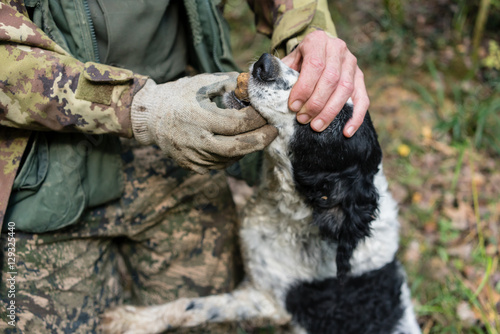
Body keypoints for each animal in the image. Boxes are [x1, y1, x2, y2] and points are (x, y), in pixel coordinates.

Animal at [101, 54, 422, 334]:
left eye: (326, 123)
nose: (266, 63)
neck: (291, 212)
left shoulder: (268, 301)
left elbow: (194, 306)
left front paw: (133, 320)